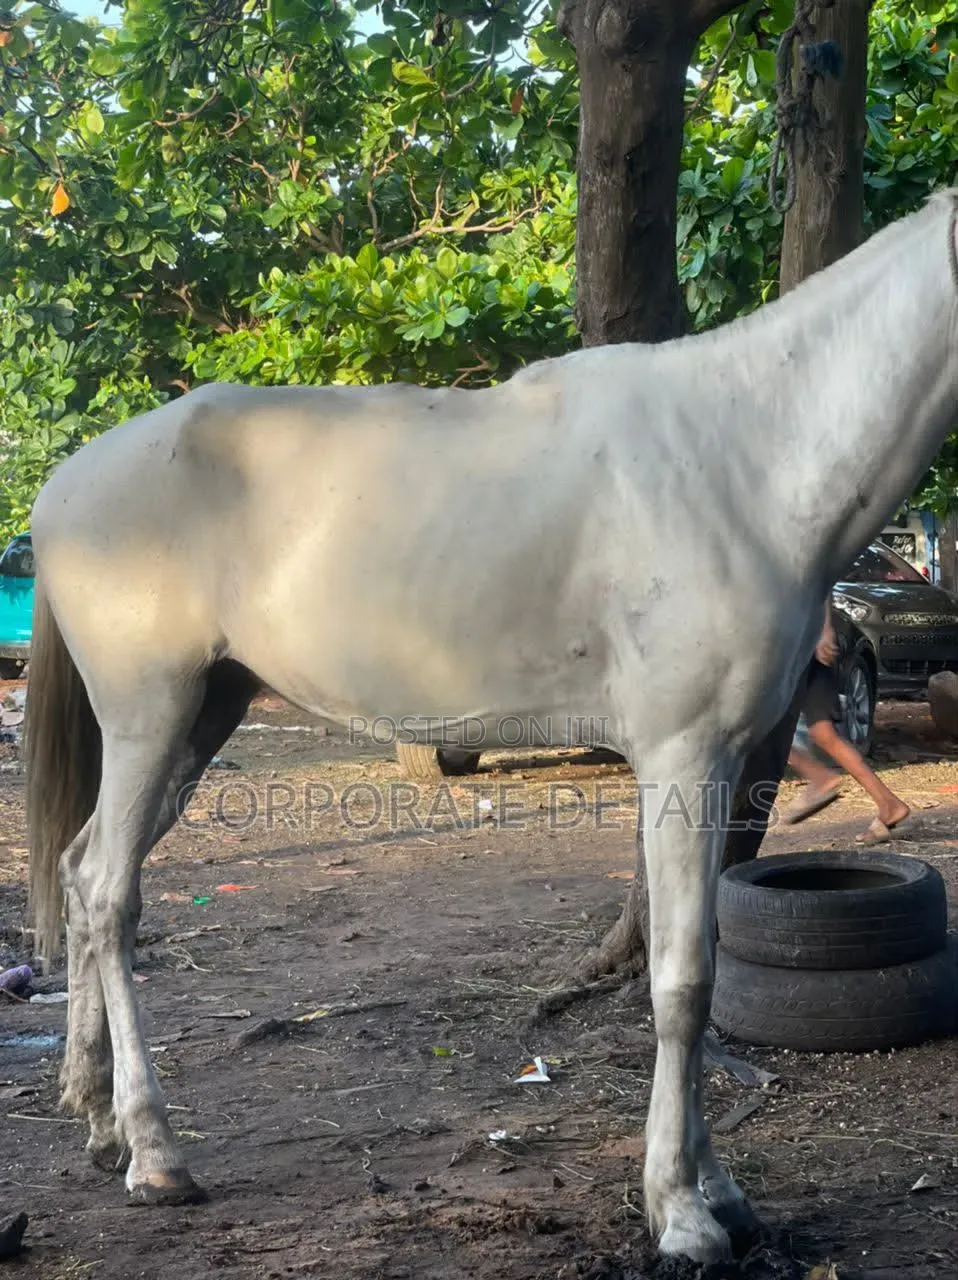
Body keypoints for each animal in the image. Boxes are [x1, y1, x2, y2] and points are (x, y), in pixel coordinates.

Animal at [24, 188, 958, 1264]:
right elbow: (680, 981)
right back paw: (154, 1152)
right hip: (149, 713)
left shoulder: (728, 762)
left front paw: (718, 1193)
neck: (746, 458)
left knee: (81, 872)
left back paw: (97, 1118)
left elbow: (705, 970)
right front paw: (680, 1213)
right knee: (108, 894)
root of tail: (63, 488)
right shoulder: (684, 756)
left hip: (200, 718)